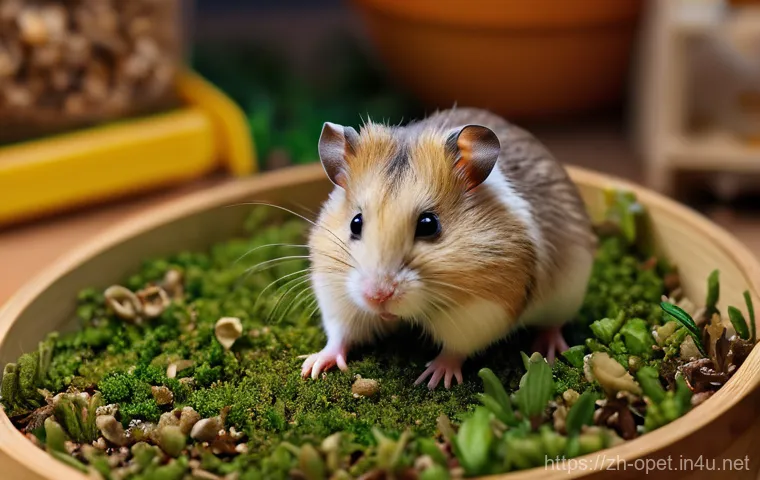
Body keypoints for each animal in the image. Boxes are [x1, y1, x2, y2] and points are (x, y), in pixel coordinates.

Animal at [301, 107, 597, 389]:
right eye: (355, 223)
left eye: (429, 224)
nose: (377, 297)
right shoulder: (335, 295)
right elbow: (339, 334)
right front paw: (312, 368)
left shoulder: (481, 312)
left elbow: (455, 348)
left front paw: (433, 378)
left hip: (568, 292)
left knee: (554, 325)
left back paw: (550, 350)